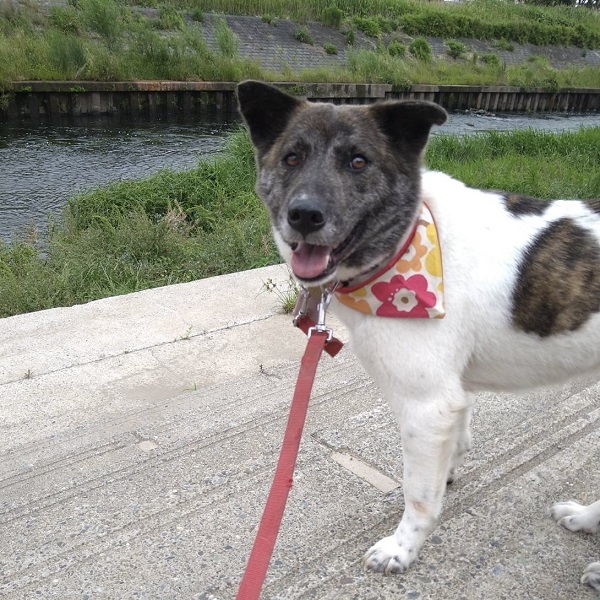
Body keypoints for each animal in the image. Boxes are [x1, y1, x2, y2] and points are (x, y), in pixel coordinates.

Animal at [237, 80, 600, 590]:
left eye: (359, 161)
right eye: (292, 157)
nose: (304, 215)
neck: (409, 238)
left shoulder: (426, 407)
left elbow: (419, 496)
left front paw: (402, 548)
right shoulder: (452, 399)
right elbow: (454, 449)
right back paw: (585, 519)